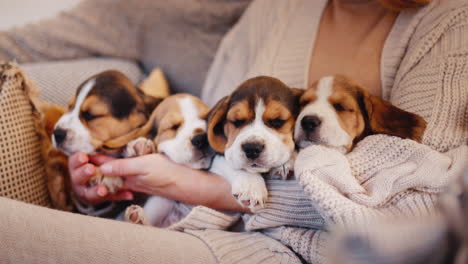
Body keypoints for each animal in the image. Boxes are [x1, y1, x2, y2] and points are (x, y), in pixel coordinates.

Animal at [207, 76, 302, 210]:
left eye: (277, 121)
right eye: (237, 121)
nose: (252, 149)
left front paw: (286, 162)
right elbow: (229, 160)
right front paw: (251, 186)